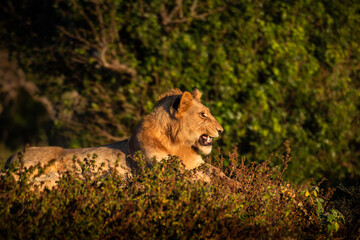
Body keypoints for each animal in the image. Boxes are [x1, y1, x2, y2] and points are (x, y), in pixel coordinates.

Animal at [5, 88, 224, 188]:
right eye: (203, 115)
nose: (221, 130)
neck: (179, 145)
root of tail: (9, 159)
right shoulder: (159, 170)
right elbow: (192, 176)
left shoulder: (197, 163)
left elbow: (214, 171)